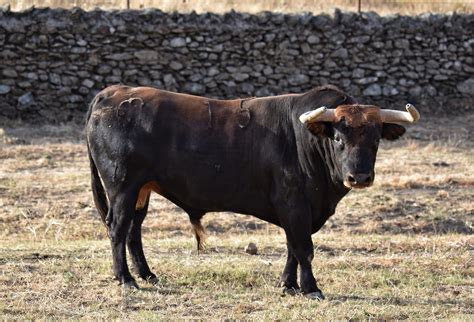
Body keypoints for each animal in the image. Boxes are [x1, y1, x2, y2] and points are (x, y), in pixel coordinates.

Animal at [85, 83, 418, 300]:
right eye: (338, 138)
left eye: (376, 139)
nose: (359, 177)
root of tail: (112, 92)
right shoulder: (294, 205)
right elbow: (304, 248)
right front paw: (311, 288)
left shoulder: (298, 211)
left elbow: (293, 248)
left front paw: (289, 285)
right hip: (122, 187)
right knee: (118, 227)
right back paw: (126, 279)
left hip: (141, 189)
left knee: (133, 230)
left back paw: (147, 274)